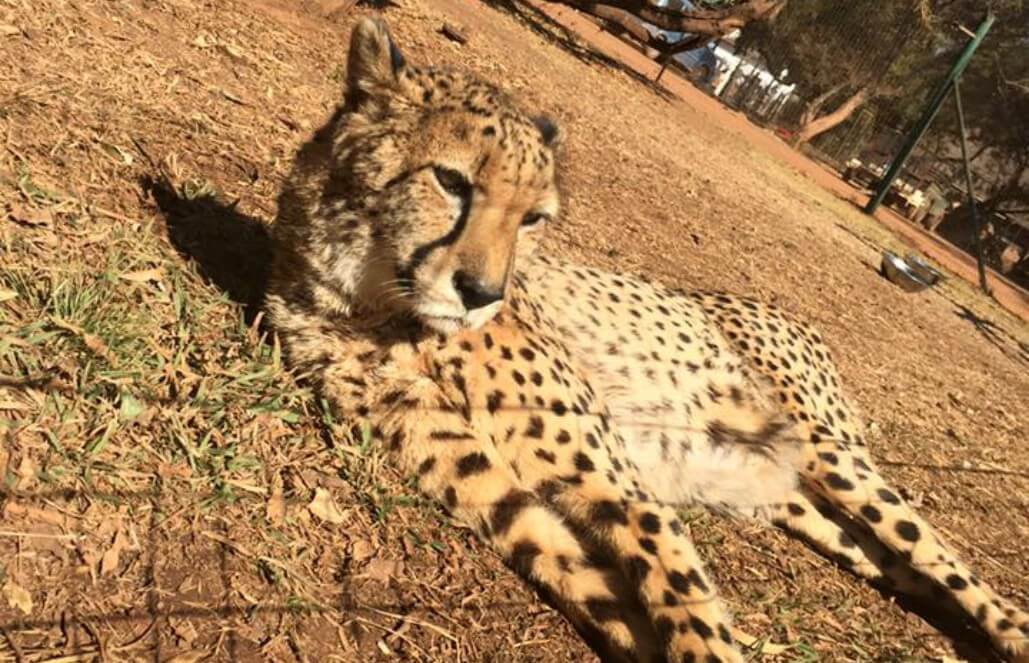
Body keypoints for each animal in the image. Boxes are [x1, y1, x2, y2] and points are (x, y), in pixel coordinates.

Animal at [267, 15, 1029, 663]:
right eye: (451, 181)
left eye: (533, 218)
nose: (482, 294)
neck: (373, 308)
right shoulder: (493, 491)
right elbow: (591, 582)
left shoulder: (619, 484)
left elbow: (682, 598)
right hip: (796, 499)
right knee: (891, 558)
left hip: (829, 453)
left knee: (945, 560)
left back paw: (1008, 628)